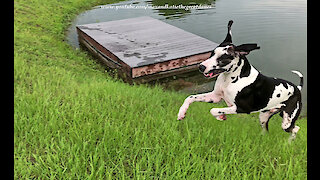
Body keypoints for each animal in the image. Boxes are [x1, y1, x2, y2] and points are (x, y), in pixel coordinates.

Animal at [176, 20, 304, 141]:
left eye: (222, 58)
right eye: (212, 53)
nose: (201, 67)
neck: (230, 80)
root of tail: (297, 88)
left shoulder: (241, 108)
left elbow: (214, 110)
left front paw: (221, 116)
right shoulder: (215, 96)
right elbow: (190, 97)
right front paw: (182, 112)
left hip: (287, 121)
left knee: (296, 128)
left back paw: (289, 142)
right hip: (264, 117)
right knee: (267, 130)